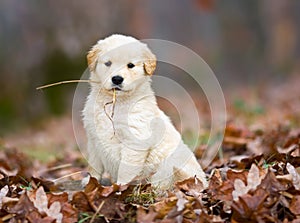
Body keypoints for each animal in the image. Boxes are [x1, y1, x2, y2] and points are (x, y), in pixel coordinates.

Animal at [83, 34, 207, 188]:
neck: (115, 103)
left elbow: (125, 170)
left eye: (130, 65)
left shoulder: (134, 142)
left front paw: (120, 188)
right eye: (108, 63)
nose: (117, 79)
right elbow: (93, 166)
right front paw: (90, 182)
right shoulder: (93, 140)